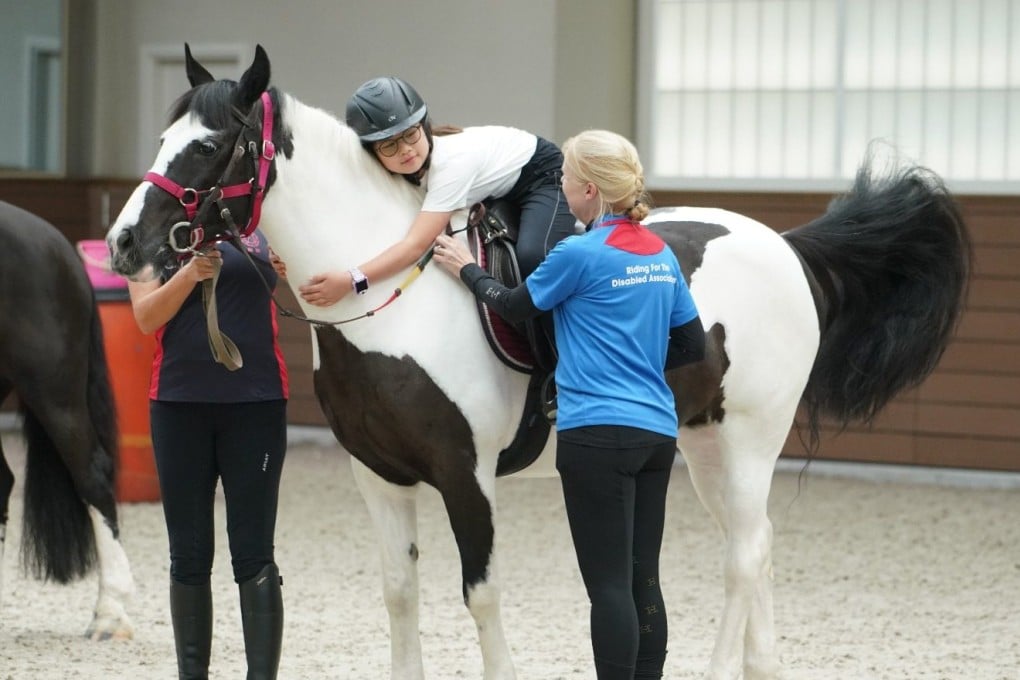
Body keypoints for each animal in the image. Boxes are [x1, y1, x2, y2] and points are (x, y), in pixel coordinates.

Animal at [105, 45, 970, 679]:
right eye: (162, 141)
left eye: (209, 146)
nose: (123, 244)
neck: (385, 295)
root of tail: (783, 246)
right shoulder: (378, 478)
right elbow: (400, 594)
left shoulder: (467, 475)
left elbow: (480, 597)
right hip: (700, 446)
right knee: (752, 545)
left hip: (751, 437)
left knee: (744, 555)